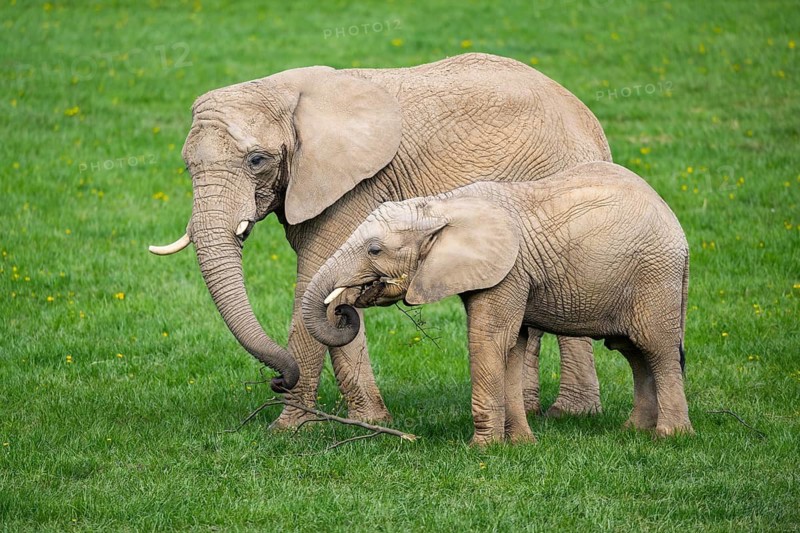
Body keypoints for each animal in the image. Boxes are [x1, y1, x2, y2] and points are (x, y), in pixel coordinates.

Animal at [148, 53, 612, 427]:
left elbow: (313, 279)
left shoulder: (355, 185)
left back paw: (570, 414)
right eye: (187, 166)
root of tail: (588, 116)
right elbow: (329, 285)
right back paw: (533, 410)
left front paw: (289, 430)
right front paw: (370, 422)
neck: (285, 90)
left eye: (257, 160)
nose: (277, 379)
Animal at [302, 162, 692, 445]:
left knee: (656, 348)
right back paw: (634, 431)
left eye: (374, 250)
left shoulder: (510, 271)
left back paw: (669, 437)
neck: (442, 204)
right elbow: (512, 347)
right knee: (633, 351)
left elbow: (488, 340)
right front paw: (519, 444)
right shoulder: (504, 274)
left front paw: (483, 449)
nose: (343, 309)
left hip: (655, 277)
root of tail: (678, 227)